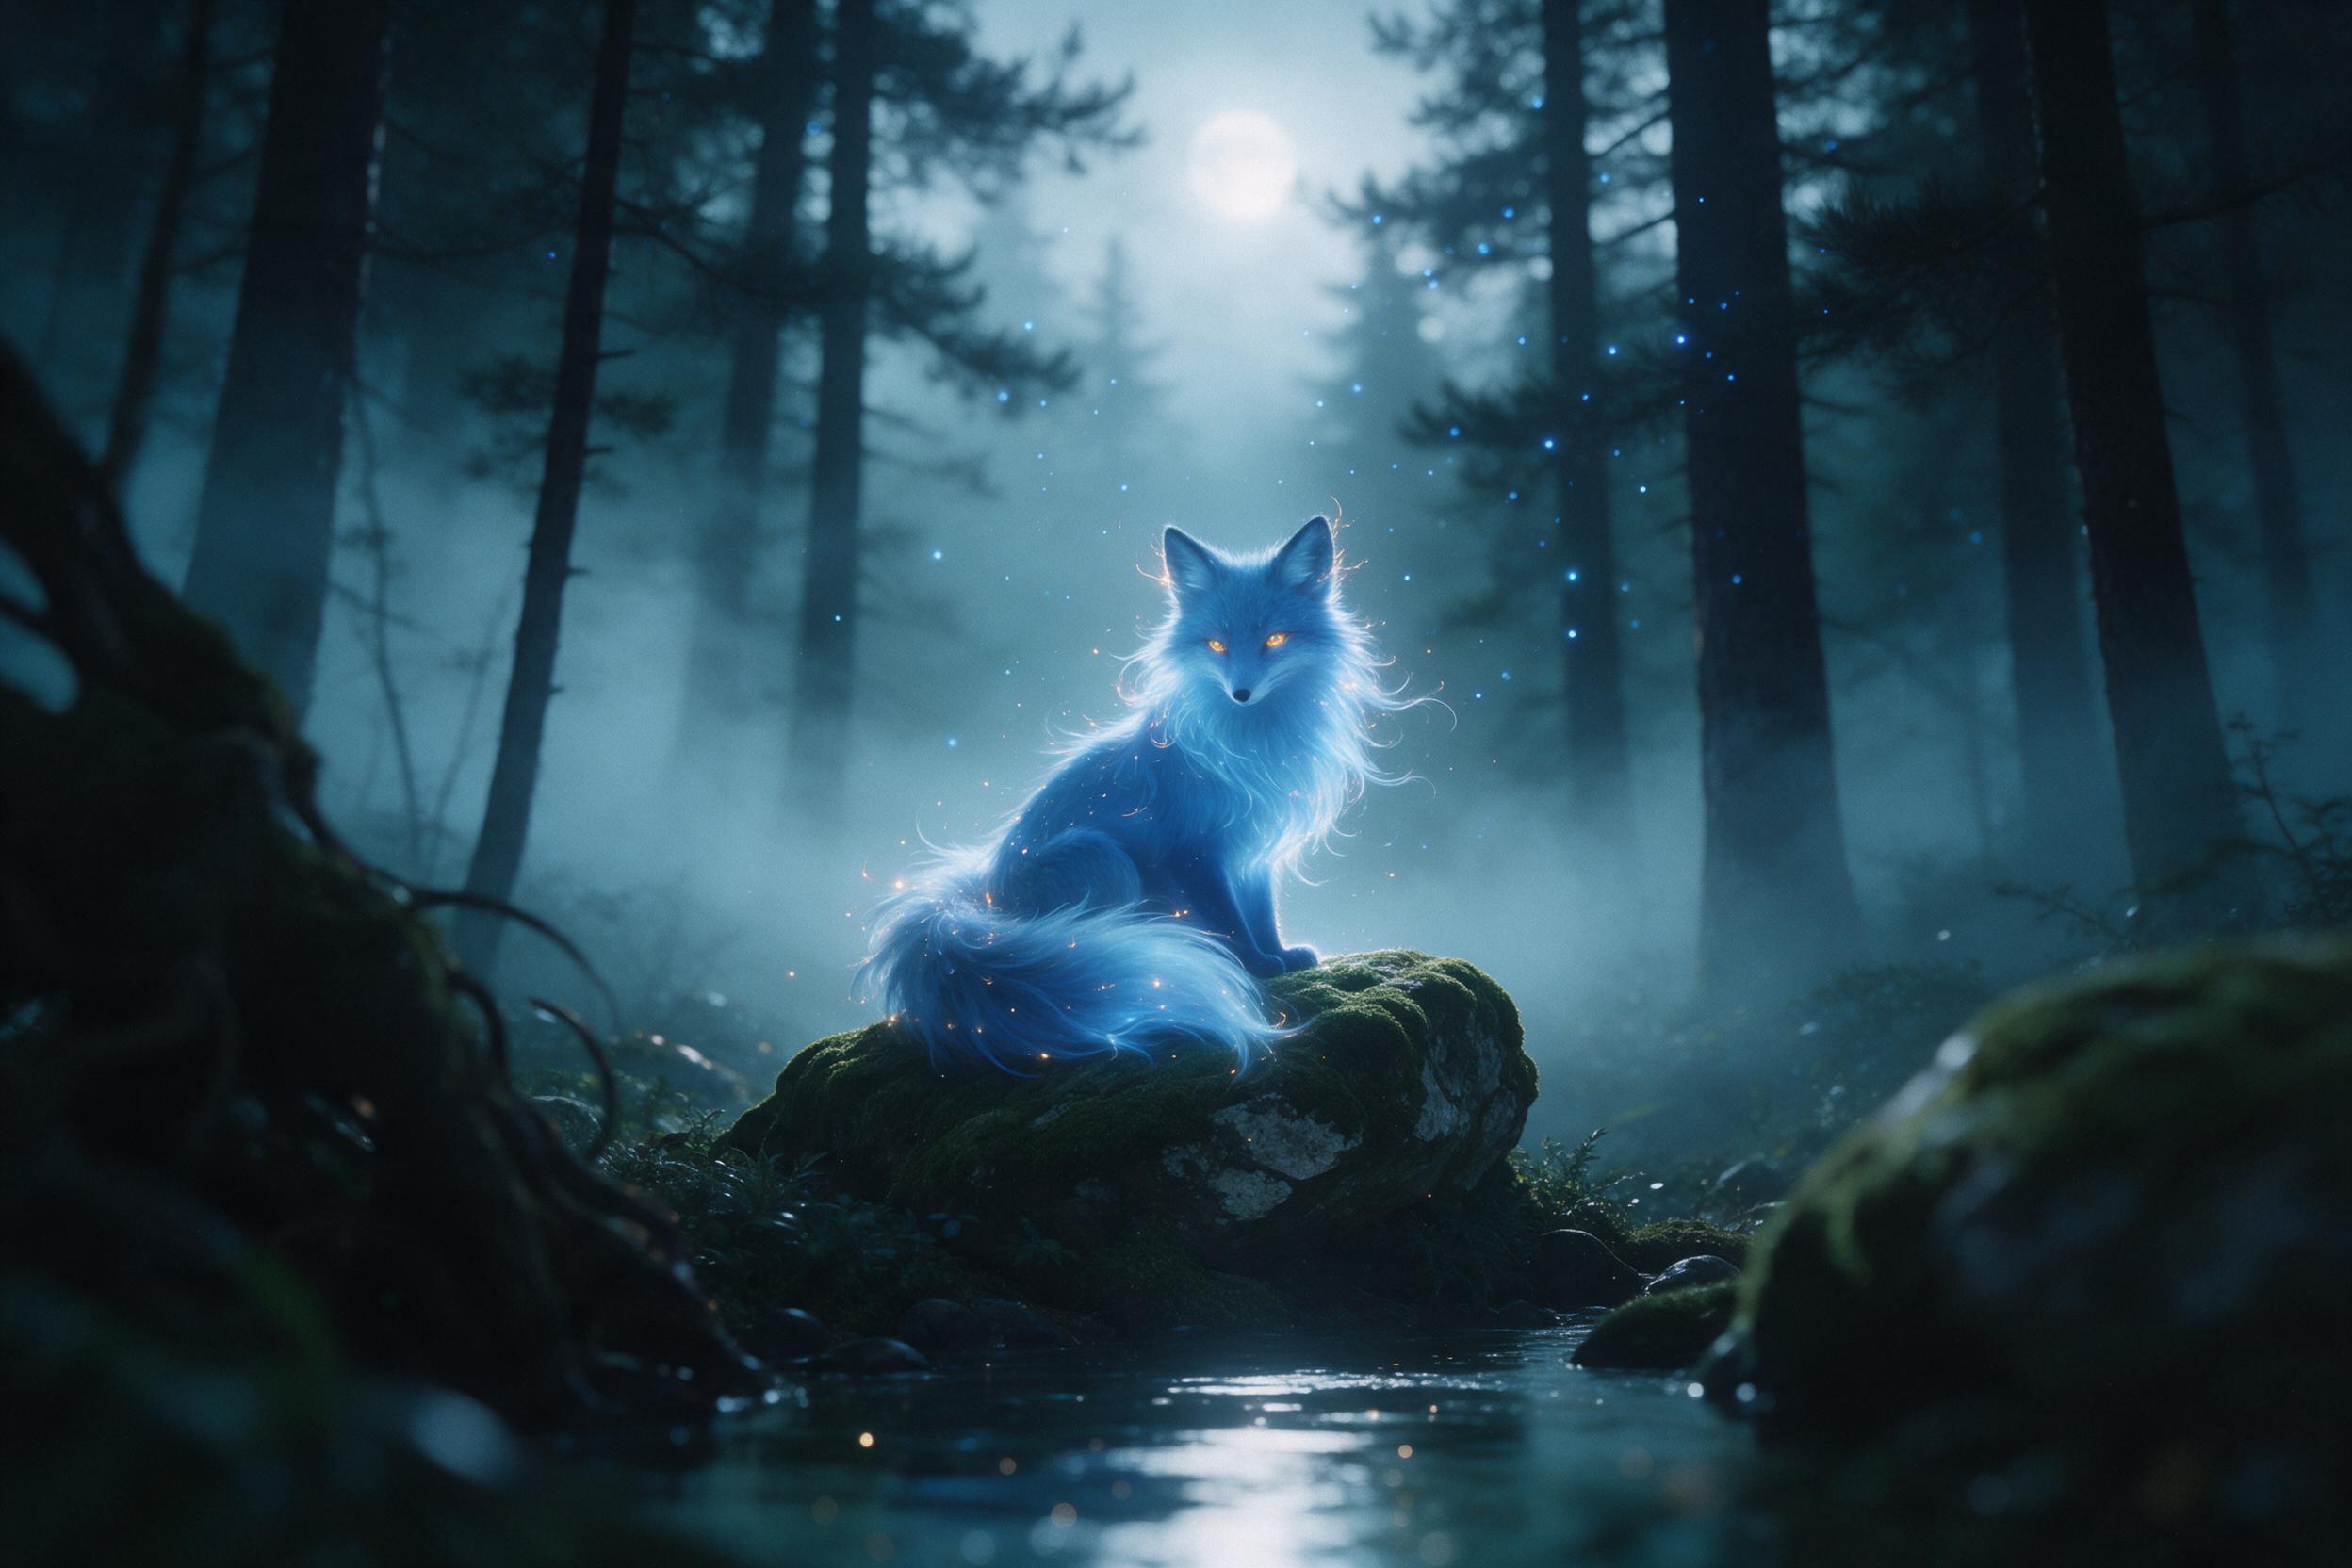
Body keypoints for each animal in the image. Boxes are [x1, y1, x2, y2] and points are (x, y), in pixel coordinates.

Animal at [857, 515, 1415, 1072]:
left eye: (1275, 639)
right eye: (1216, 646)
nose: (1241, 693)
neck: (1252, 743)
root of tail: (985, 901)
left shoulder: (1253, 850)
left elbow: (1261, 912)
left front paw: (1280, 955)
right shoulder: (1193, 852)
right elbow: (1229, 922)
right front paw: (1254, 965)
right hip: (1105, 859)